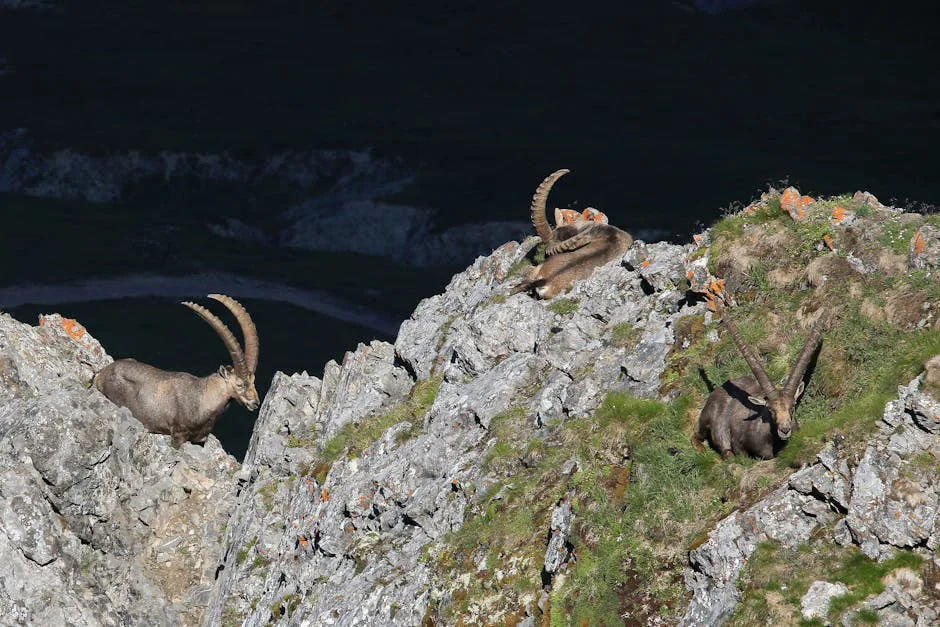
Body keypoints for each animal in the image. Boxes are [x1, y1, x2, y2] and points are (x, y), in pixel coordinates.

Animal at [93, 294, 260, 446]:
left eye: (253, 381)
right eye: (239, 384)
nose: (256, 403)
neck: (202, 397)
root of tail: (102, 374)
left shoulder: (200, 440)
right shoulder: (178, 434)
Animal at [692, 300, 822, 460]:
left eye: (792, 407)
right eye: (770, 410)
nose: (785, 430)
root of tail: (719, 389)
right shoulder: (738, 445)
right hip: (705, 422)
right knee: (698, 436)